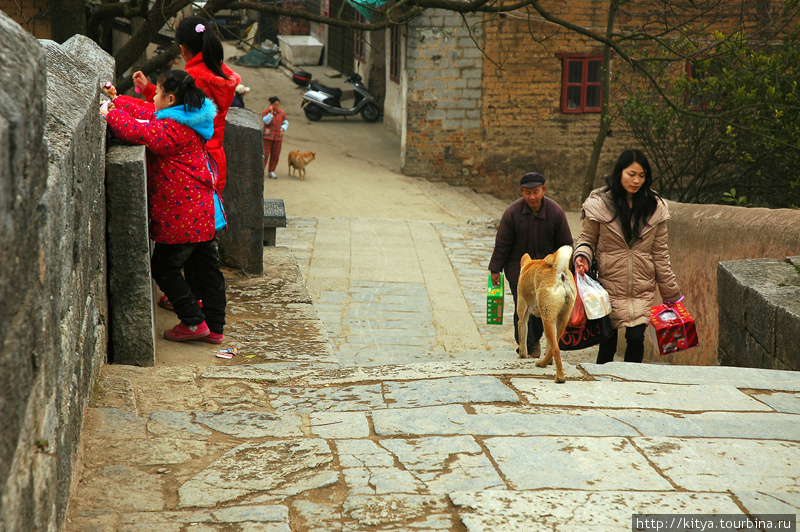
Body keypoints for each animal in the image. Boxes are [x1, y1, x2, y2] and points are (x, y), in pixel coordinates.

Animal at [520, 245, 576, 382]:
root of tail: (559, 271)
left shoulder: (522, 311)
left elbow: (523, 334)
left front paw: (522, 355)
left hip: (548, 319)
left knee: (555, 348)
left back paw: (559, 377)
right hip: (560, 319)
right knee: (555, 344)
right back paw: (544, 362)